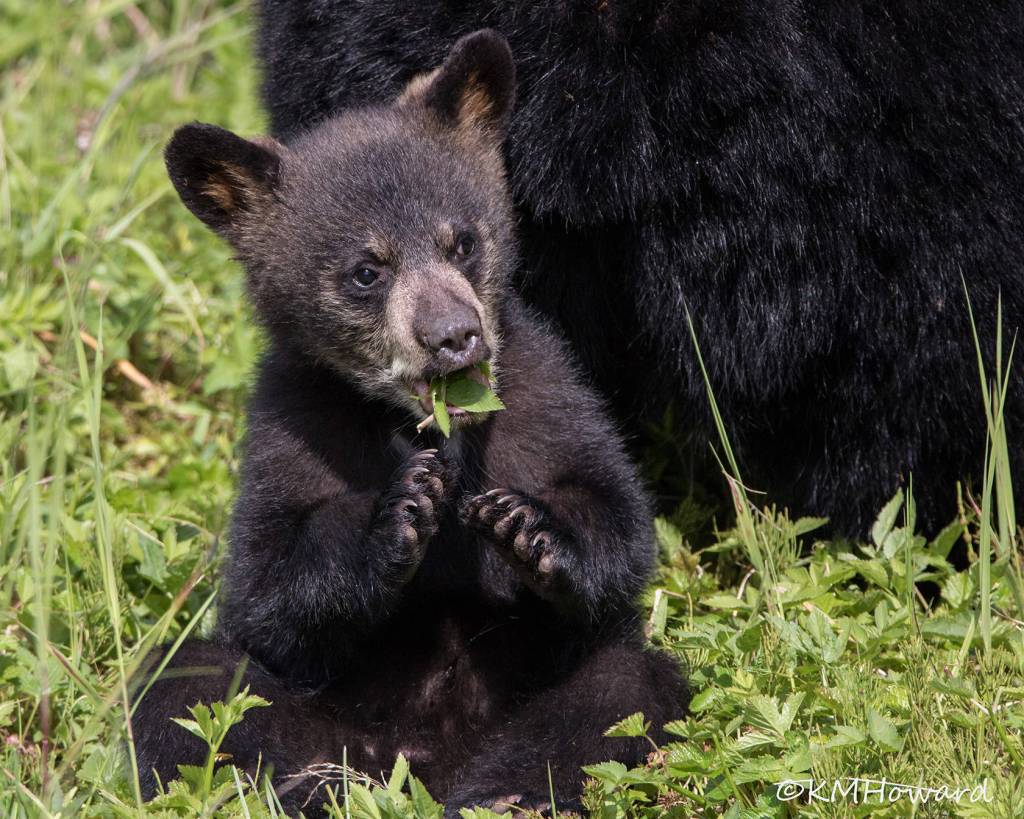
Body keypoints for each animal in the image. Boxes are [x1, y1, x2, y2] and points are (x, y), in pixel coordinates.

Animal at [133, 31, 688, 816]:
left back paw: (509, 794)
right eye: (368, 270)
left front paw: (528, 525)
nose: (455, 336)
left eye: (463, 242)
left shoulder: (547, 388)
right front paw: (397, 510)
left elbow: (618, 519)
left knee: (622, 690)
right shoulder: (290, 420)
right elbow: (264, 588)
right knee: (192, 687)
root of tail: (429, 767)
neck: (432, 425)